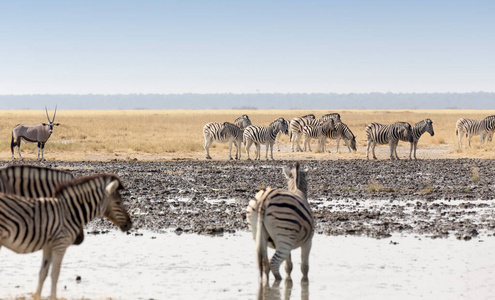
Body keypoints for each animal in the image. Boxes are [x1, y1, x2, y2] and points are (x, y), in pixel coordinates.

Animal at [0, 172, 132, 300]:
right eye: (118, 203)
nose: (130, 224)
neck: (70, 212)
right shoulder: (61, 244)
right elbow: (55, 274)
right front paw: (53, 297)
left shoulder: (48, 246)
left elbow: (43, 273)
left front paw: (37, 296)